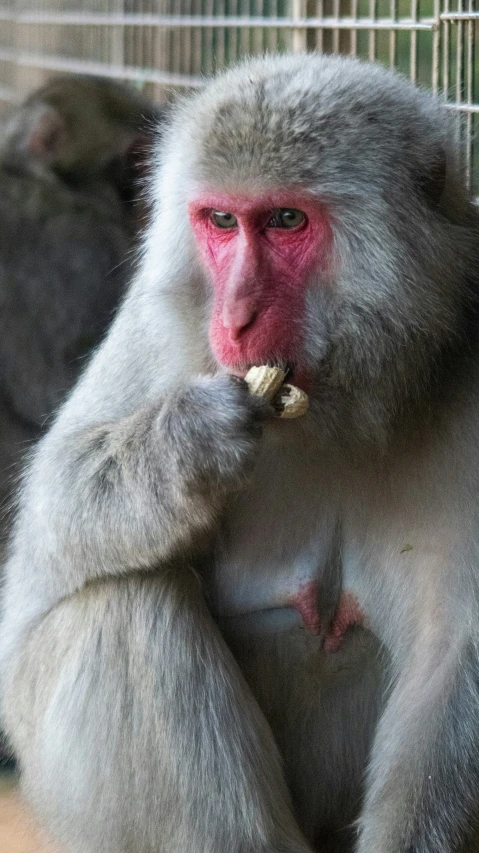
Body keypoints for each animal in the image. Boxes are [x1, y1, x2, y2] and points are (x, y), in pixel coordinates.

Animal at [0, 53, 479, 852]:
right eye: (221, 221)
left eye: (285, 220)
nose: (236, 316)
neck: (344, 403)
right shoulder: (161, 317)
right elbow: (50, 524)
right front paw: (188, 447)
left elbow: (455, 649)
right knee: (122, 603)